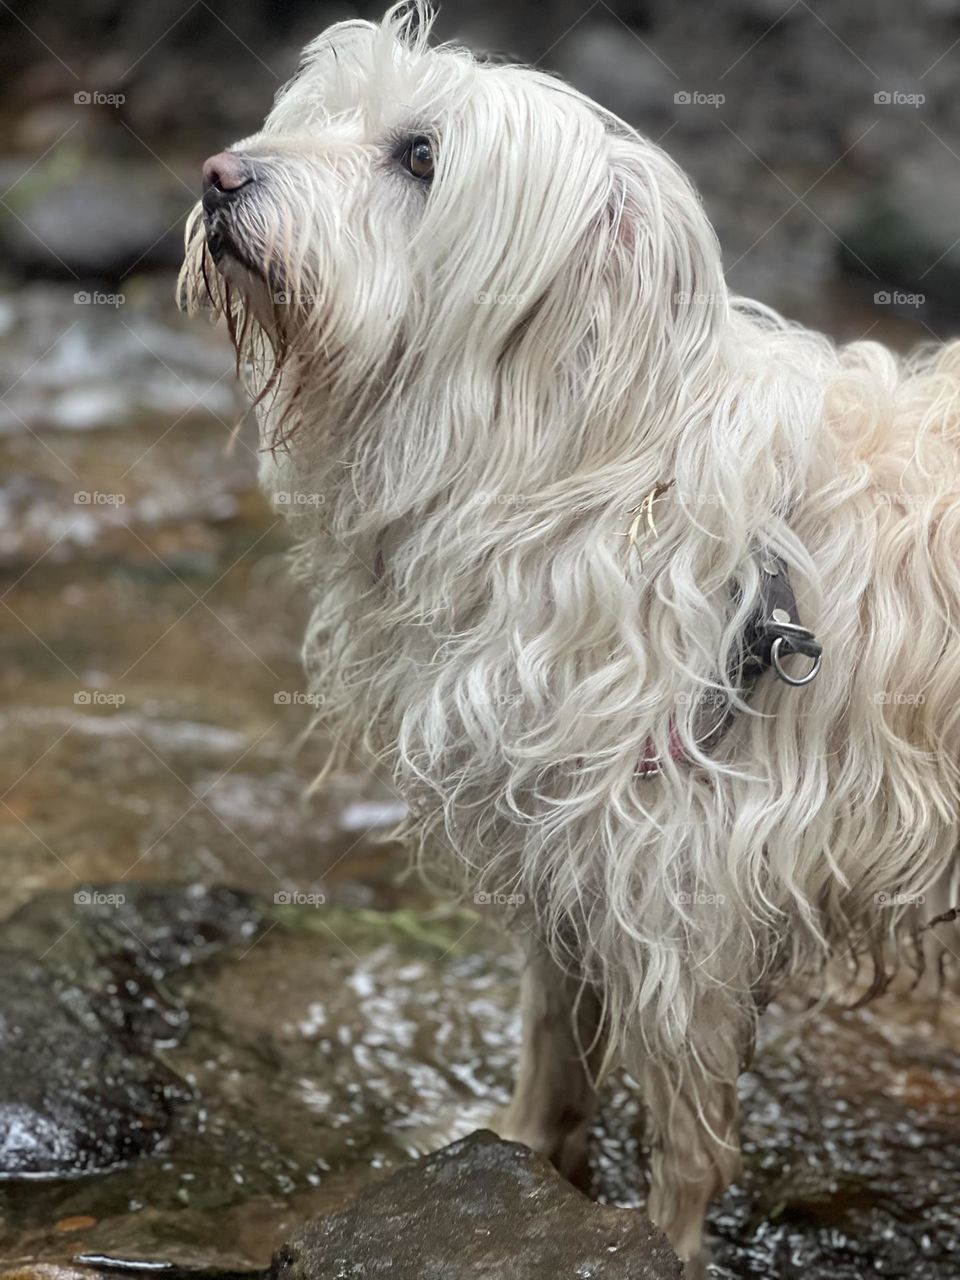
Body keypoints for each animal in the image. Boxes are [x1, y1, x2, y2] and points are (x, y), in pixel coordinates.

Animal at [180, 5, 960, 1269]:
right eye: (319, 117)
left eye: (420, 157)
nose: (217, 175)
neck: (571, 464)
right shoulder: (559, 835)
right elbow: (554, 1032)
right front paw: (519, 1152)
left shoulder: (676, 880)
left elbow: (685, 1122)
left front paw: (665, 1238)